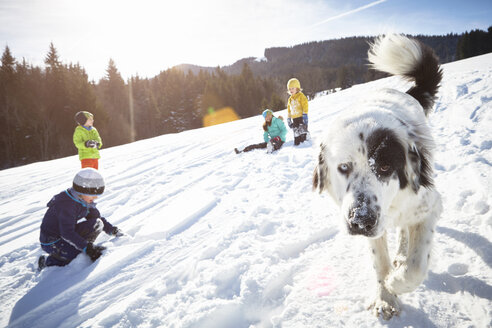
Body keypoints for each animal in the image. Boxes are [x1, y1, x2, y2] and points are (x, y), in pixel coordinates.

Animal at [314, 35, 444, 320]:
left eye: (384, 167)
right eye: (343, 167)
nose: (361, 220)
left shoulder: (429, 206)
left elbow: (416, 266)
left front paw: (396, 282)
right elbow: (379, 262)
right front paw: (385, 296)